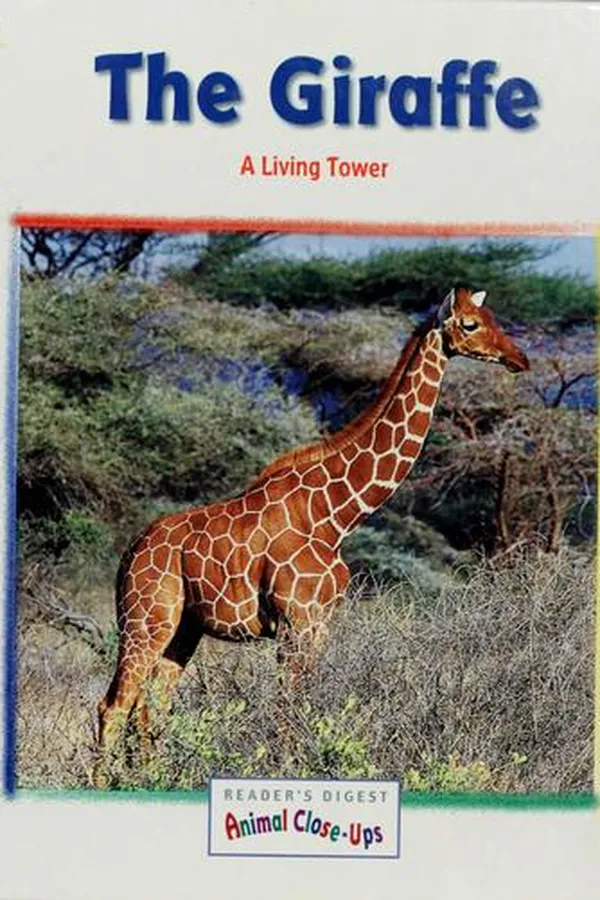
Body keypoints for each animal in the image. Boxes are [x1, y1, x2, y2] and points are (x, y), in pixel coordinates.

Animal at [97, 285, 529, 759]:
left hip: (182, 629)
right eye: (470, 324)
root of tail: (130, 552)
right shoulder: (295, 623)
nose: (520, 359)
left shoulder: (320, 625)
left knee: (149, 711)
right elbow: (285, 716)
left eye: (493, 317)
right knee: (113, 707)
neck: (337, 514)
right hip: (145, 620)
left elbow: (301, 710)